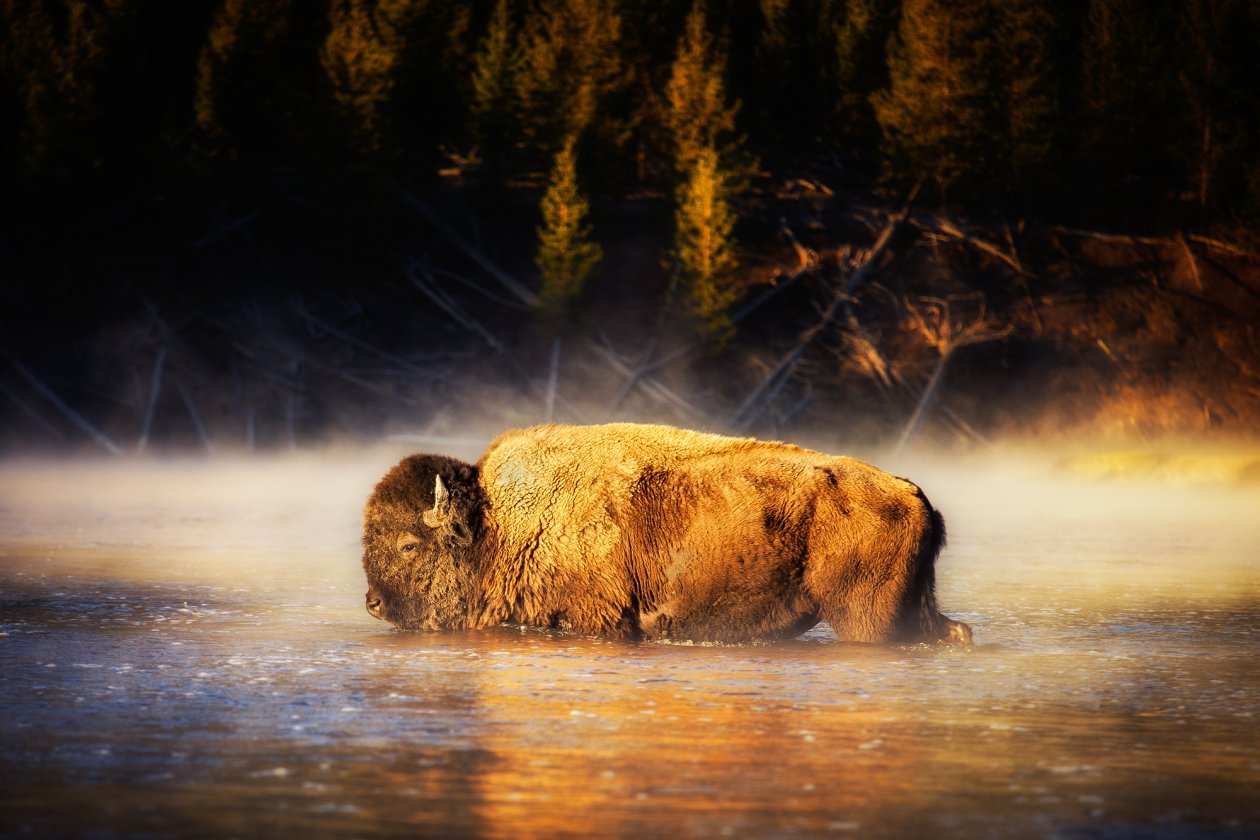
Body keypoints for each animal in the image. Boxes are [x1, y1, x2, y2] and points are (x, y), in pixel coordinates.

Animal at [361, 422, 972, 644]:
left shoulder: (595, 619)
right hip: (914, 608)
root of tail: (910, 493)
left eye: (409, 544)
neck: (495, 526)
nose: (373, 603)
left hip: (865, 618)